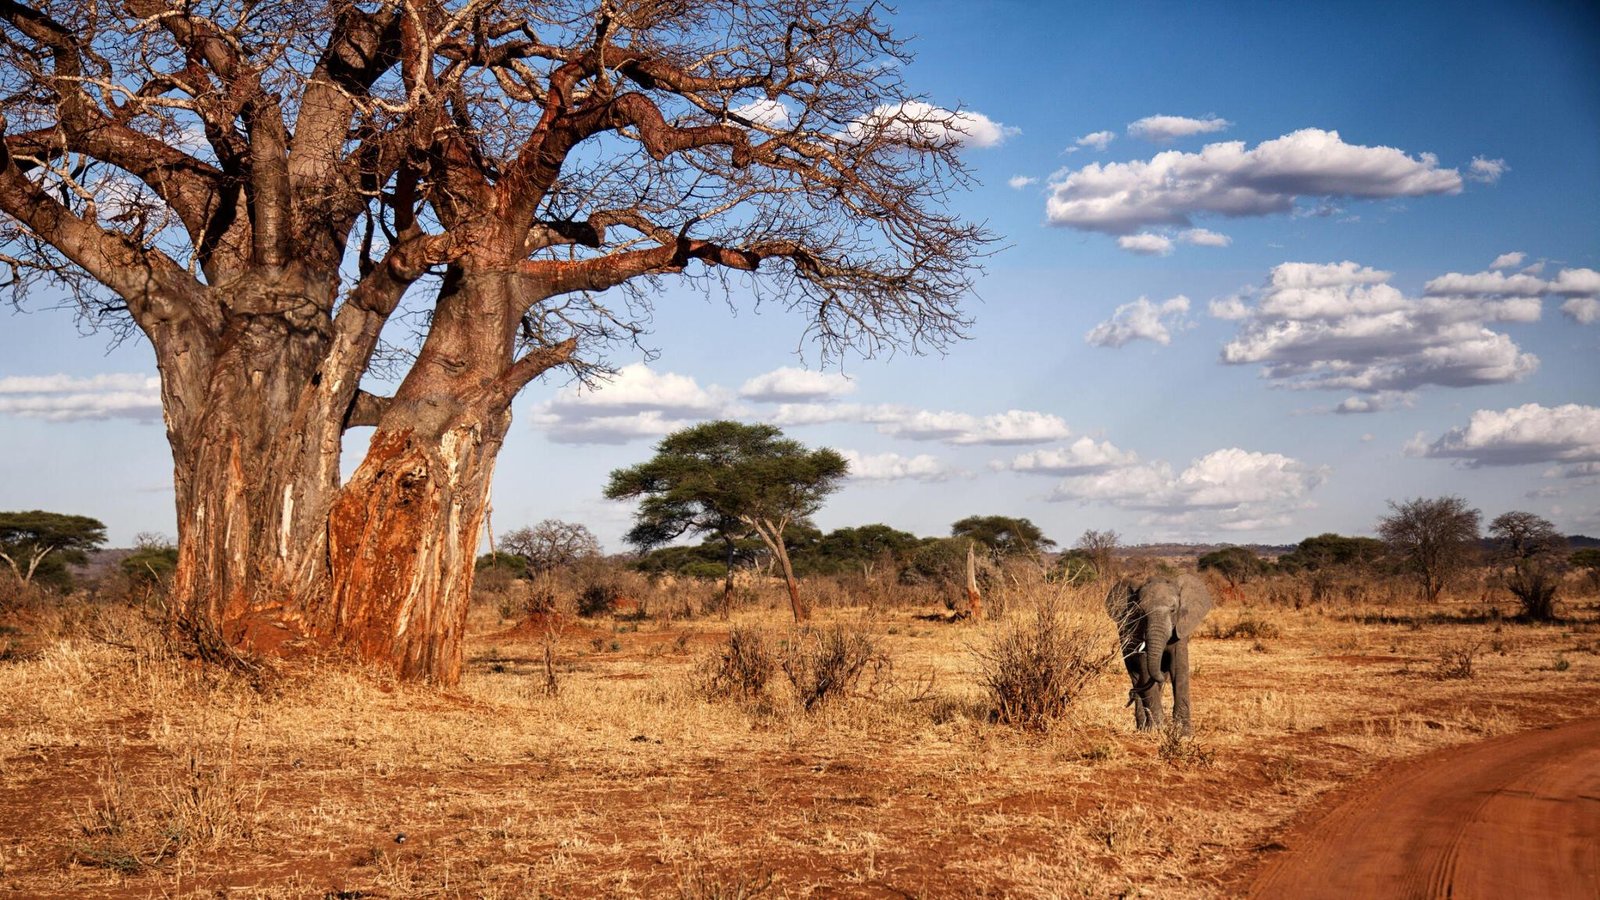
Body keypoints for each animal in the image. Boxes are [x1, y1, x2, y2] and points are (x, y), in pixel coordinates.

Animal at [1105, 573, 1214, 732]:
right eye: (1140, 612)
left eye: (1173, 610)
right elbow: (1144, 667)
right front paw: (1157, 730)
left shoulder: (1180, 628)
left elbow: (1178, 667)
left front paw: (1183, 733)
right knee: (1136, 677)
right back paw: (1143, 728)